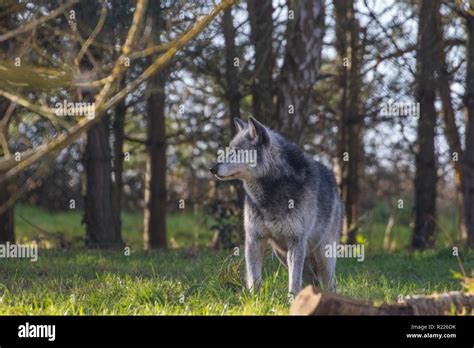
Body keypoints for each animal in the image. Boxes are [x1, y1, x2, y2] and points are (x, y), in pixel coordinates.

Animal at [209, 117, 342, 294]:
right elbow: (254, 279)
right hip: (282, 254)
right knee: (312, 280)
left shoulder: (296, 242)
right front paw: (255, 299)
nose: (212, 168)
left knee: (329, 283)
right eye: (228, 150)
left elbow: (294, 281)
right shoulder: (254, 239)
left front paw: (291, 298)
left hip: (323, 256)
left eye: (236, 152)